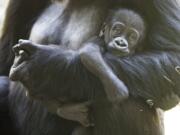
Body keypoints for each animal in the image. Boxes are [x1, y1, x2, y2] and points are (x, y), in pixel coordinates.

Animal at [0, 0, 180, 135]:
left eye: (132, 36)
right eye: (117, 29)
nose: (121, 43)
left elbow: (172, 57)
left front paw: (48, 67)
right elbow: (6, 59)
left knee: (127, 102)